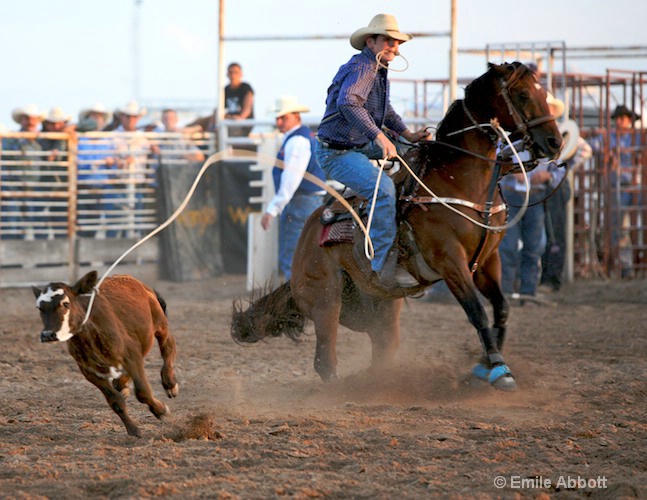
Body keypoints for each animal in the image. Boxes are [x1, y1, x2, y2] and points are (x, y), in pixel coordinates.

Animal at [32, 270, 178, 438]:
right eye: (40, 308)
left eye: (65, 304)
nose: (47, 335)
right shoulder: (90, 372)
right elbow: (115, 401)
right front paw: (133, 431)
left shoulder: (131, 353)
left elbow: (142, 392)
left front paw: (161, 411)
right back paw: (122, 385)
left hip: (159, 323)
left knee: (168, 346)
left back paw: (170, 383)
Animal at [232, 61, 560, 390]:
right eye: (522, 94)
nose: (555, 142)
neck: (460, 181)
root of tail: (306, 239)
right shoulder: (450, 261)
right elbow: (477, 312)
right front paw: (498, 369)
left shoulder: (487, 261)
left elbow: (501, 308)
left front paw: (487, 364)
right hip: (326, 299)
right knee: (325, 360)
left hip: (378, 309)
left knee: (381, 351)